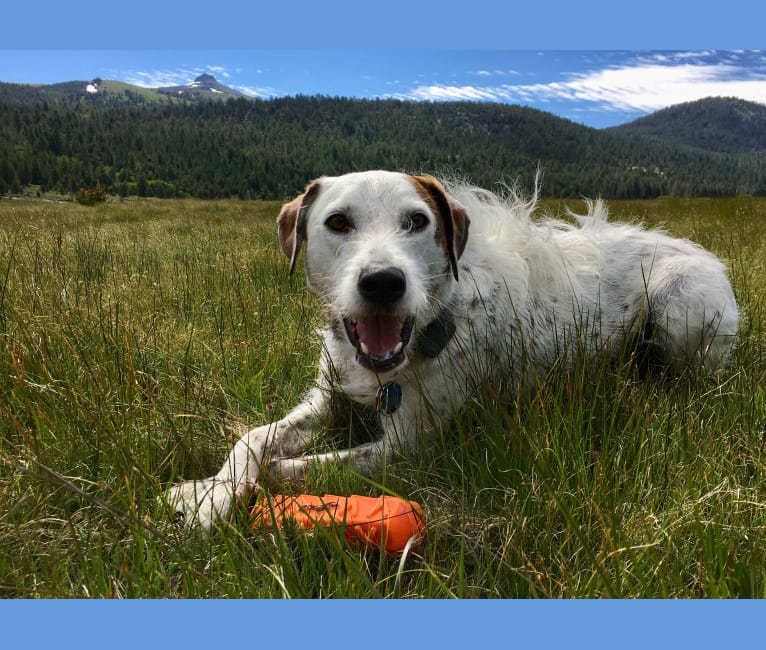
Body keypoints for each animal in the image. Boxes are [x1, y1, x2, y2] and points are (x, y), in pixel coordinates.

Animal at [170, 168, 744, 528]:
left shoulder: (404, 447)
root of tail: (702, 252)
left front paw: (231, 491)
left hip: (680, 307)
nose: (383, 282)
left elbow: (292, 468)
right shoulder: (326, 397)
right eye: (337, 222)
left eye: (417, 221)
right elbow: (254, 438)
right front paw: (211, 492)